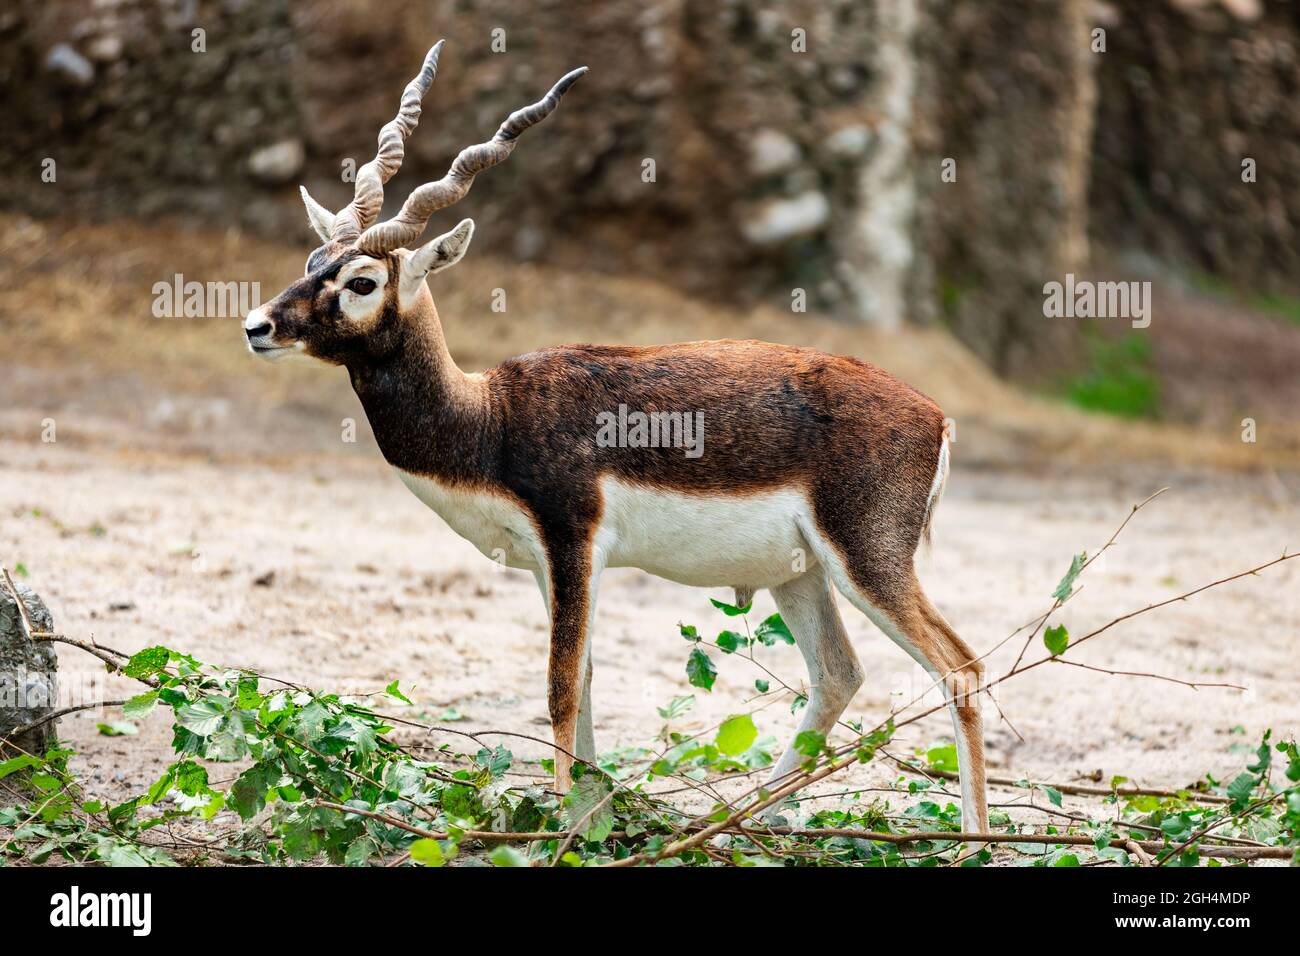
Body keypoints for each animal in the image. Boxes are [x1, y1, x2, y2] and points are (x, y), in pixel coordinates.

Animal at [243, 41, 988, 836]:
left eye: (359, 282)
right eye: (311, 263)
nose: (258, 326)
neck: (492, 416)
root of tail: (935, 414)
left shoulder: (574, 542)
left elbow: (560, 686)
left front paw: (560, 829)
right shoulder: (548, 565)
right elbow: (589, 677)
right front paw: (588, 814)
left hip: (867, 560)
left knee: (960, 670)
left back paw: (970, 842)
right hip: (801, 571)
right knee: (839, 675)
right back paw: (733, 822)